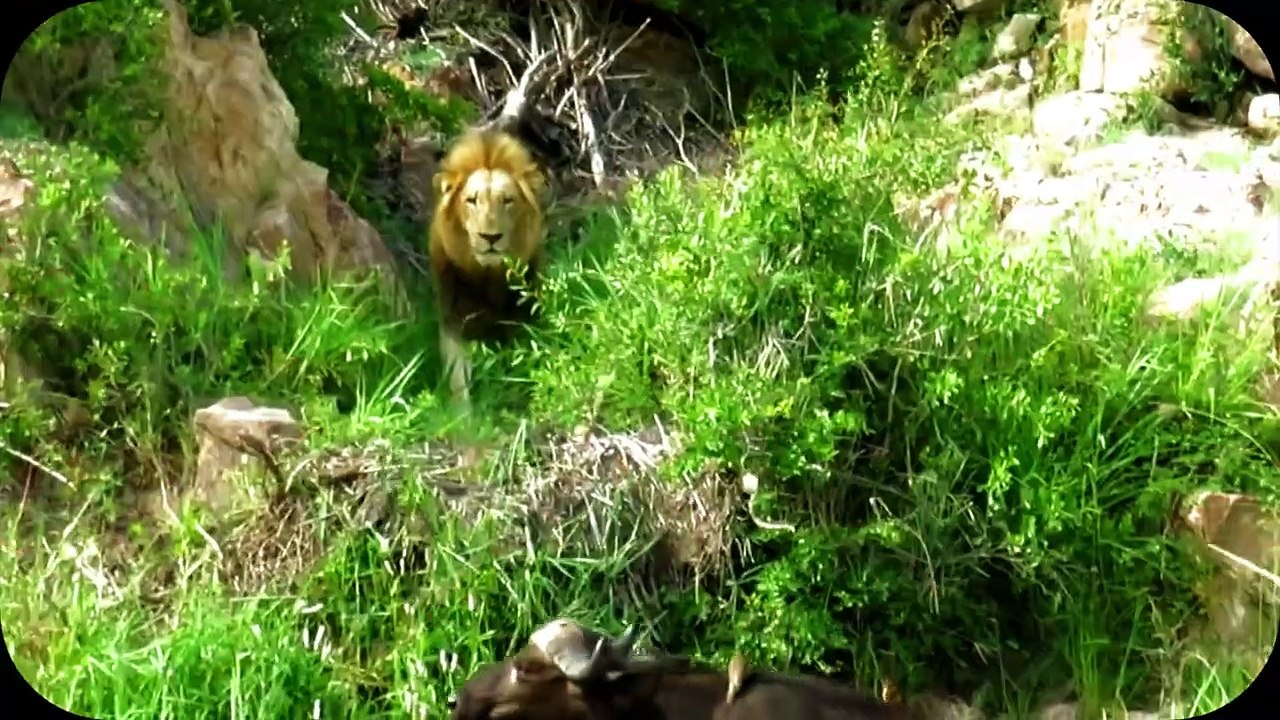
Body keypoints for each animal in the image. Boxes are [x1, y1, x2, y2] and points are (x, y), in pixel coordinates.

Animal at [428, 128, 549, 407]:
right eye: (472, 200)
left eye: (507, 200)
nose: (490, 237)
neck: (488, 276)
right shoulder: (454, 320)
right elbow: (458, 379)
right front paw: (463, 414)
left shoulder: (522, 320)